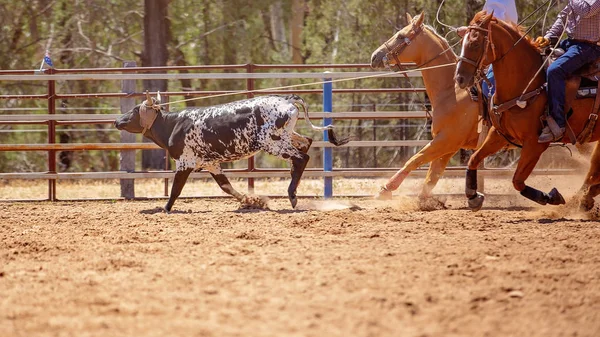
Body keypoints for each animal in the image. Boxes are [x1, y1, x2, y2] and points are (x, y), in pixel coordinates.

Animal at [115, 92, 350, 210]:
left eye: (134, 110)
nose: (117, 120)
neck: (173, 125)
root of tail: (286, 100)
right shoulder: (211, 163)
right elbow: (225, 186)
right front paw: (249, 201)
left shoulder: (184, 163)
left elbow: (175, 189)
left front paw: (165, 208)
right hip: (286, 137)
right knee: (306, 143)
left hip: (272, 142)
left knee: (302, 157)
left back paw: (292, 195)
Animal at [370, 12, 482, 202]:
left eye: (400, 35)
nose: (374, 56)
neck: (453, 91)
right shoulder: (449, 147)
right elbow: (432, 176)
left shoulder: (446, 140)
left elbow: (415, 160)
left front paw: (386, 189)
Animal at [454, 11, 600, 211]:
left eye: (475, 43)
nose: (460, 78)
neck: (527, 82)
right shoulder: (499, 134)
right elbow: (474, 159)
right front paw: (473, 197)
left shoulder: (534, 144)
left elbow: (517, 181)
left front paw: (551, 196)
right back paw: (584, 200)